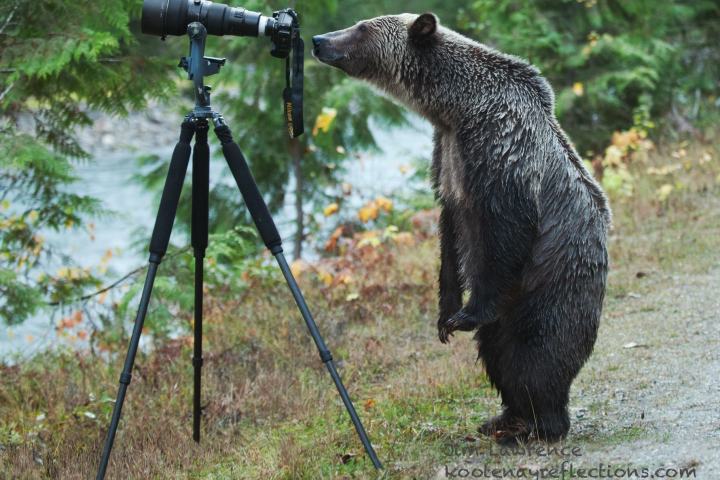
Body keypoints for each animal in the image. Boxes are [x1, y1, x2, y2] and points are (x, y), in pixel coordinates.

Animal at [312, 13, 612, 442]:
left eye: (362, 27)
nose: (319, 40)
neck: (456, 109)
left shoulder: (500, 151)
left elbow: (505, 230)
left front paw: (465, 314)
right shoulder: (447, 158)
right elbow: (450, 234)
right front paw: (446, 316)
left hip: (551, 284)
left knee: (536, 353)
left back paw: (539, 423)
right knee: (497, 352)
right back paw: (505, 418)